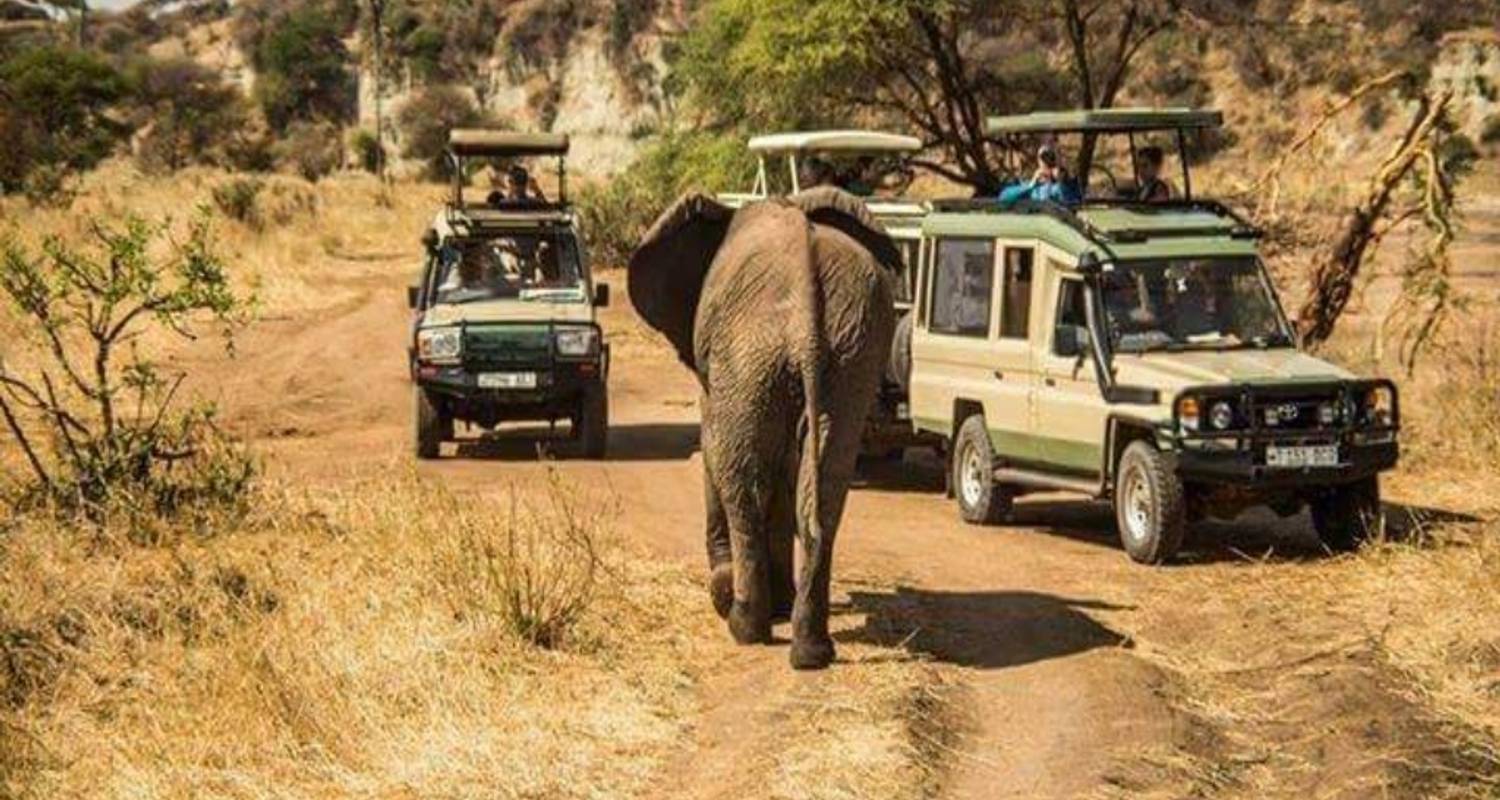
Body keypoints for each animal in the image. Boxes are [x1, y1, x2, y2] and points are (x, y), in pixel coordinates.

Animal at [627, 186, 894, 666]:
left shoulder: (718, 374)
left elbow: (715, 448)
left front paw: (725, 592)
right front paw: (781, 606)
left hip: (748, 351)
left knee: (744, 481)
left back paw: (744, 625)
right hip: (849, 353)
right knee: (826, 486)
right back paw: (811, 651)